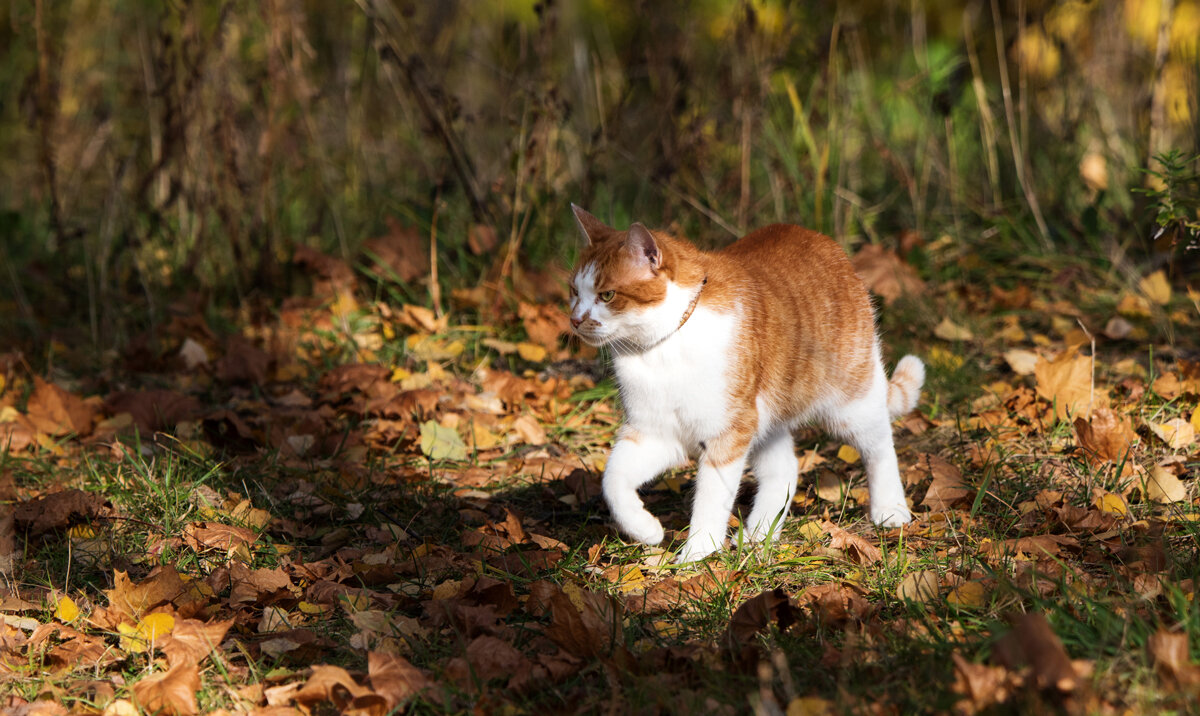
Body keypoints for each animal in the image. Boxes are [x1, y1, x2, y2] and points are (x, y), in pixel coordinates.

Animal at [566, 205, 921, 563]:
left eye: (607, 295)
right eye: (574, 291)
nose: (575, 320)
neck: (661, 350)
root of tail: (824, 242)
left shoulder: (727, 435)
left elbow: (710, 500)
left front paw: (697, 554)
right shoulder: (653, 433)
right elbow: (612, 480)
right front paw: (645, 529)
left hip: (851, 404)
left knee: (880, 447)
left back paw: (890, 510)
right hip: (766, 418)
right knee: (785, 470)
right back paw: (762, 533)